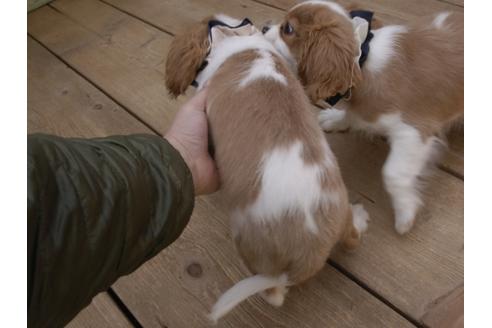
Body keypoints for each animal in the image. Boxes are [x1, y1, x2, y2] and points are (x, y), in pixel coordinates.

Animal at [166, 14, 368, 322]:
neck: (239, 39)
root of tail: (314, 250)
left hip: (248, 241)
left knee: (273, 294)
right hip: (341, 212)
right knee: (353, 234)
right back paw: (360, 217)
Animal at [264, 1, 464, 234]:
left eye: (287, 29)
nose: (264, 26)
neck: (363, 59)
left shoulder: (413, 131)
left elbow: (392, 173)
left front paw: (405, 212)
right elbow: (351, 115)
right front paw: (336, 118)